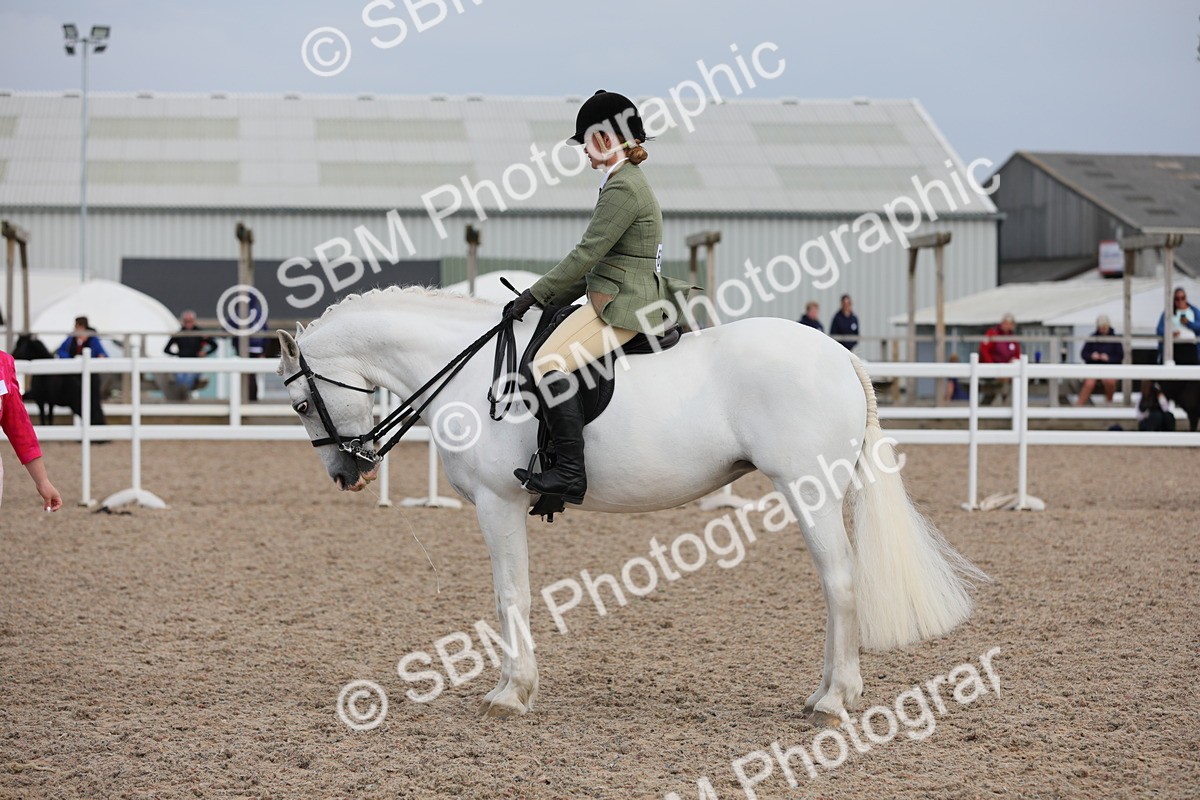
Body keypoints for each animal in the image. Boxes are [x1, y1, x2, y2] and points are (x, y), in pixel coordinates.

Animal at [276, 286, 985, 725]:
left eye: (303, 403)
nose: (348, 474)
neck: (473, 376)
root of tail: (838, 355)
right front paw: (514, 687)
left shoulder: (497, 504)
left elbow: (510, 596)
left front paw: (511, 693)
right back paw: (821, 695)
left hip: (808, 489)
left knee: (839, 582)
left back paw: (835, 700)